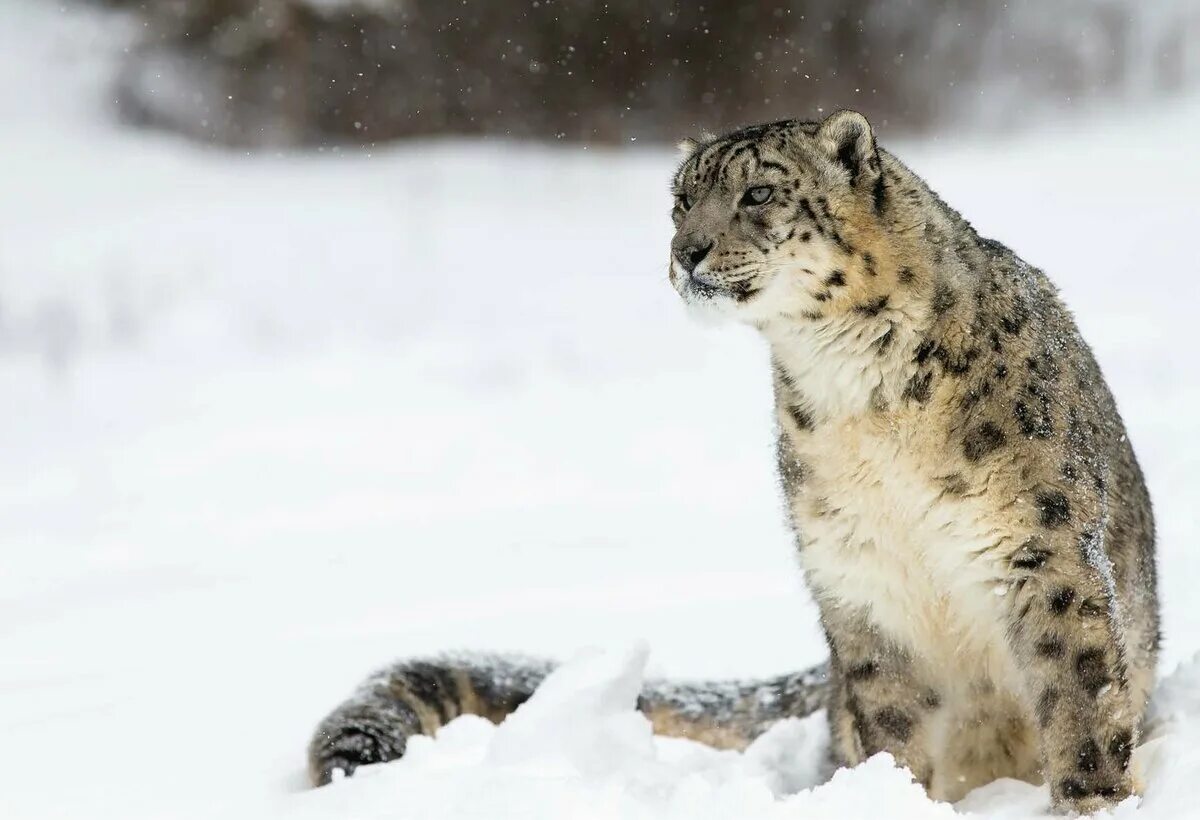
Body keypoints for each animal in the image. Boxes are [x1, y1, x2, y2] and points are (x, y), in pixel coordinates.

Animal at [307, 109, 1152, 816]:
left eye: (759, 193)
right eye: (681, 202)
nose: (686, 253)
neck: (860, 393)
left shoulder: (1041, 546)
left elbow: (1078, 696)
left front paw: (1091, 803)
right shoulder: (859, 575)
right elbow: (894, 720)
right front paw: (892, 795)